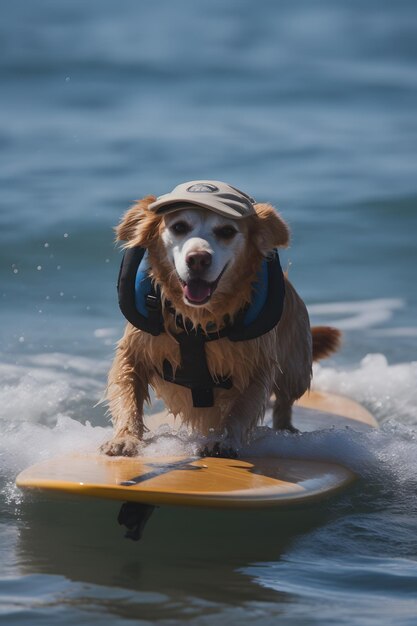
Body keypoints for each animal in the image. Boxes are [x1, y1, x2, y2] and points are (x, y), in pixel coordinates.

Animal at [100, 179, 338, 454]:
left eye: (226, 231)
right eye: (179, 227)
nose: (198, 259)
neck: (197, 321)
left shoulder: (258, 364)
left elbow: (241, 408)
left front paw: (223, 440)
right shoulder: (134, 349)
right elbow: (127, 391)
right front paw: (125, 437)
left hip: (295, 367)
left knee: (284, 402)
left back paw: (285, 429)